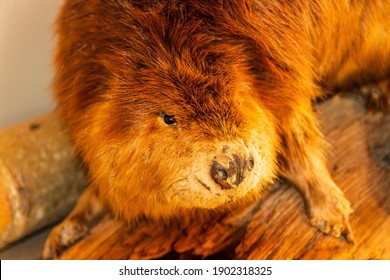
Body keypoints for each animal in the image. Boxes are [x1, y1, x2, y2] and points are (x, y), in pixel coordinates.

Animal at [42, 0, 390, 260]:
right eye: (168, 117)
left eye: (237, 95)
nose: (234, 165)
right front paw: (63, 232)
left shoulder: (284, 63)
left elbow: (297, 134)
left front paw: (333, 216)